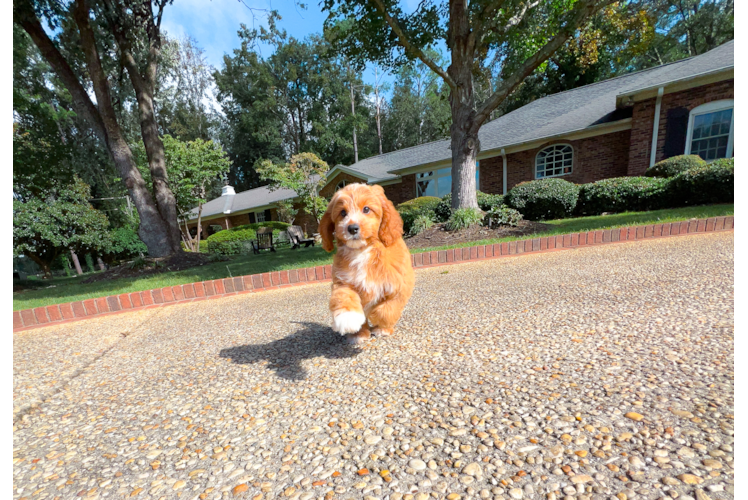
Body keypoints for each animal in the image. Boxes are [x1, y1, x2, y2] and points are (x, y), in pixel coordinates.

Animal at [320, 184, 418, 344]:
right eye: (343, 212)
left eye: (366, 209)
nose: (352, 228)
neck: (363, 250)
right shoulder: (343, 281)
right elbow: (344, 296)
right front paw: (348, 319)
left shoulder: (400, 284)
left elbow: (388, 309)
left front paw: (378, 320)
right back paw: (359, 334)